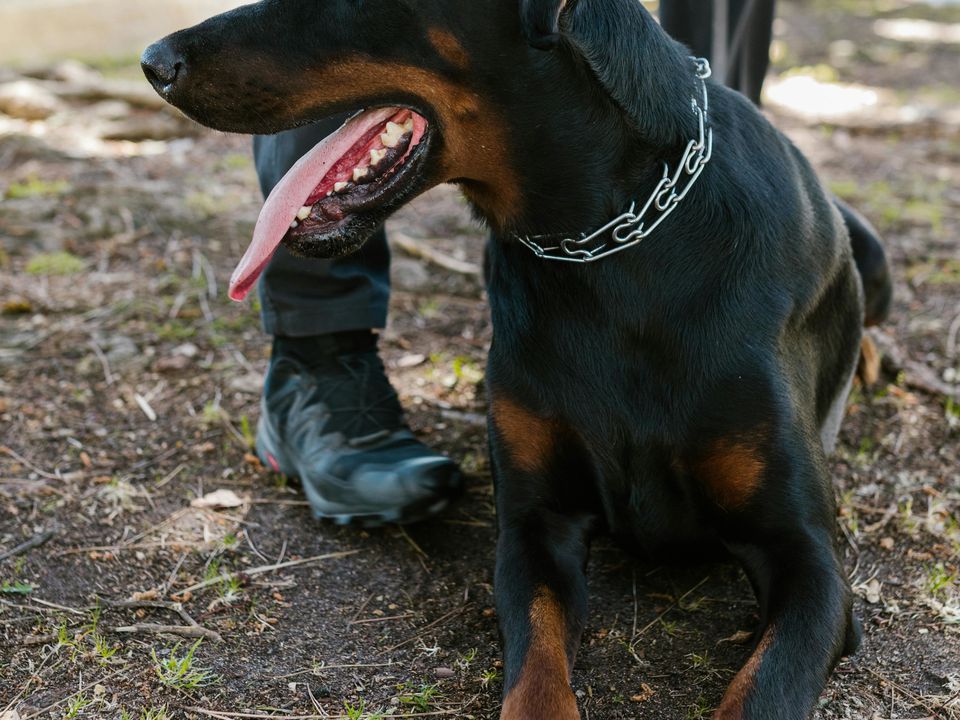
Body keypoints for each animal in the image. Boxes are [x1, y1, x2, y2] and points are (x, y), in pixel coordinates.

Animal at [142, 2, 892, 716]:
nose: (154, 61)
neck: (607, 249)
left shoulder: (809, 561)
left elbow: (761, 692)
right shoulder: (535, 528)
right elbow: (536, 673)